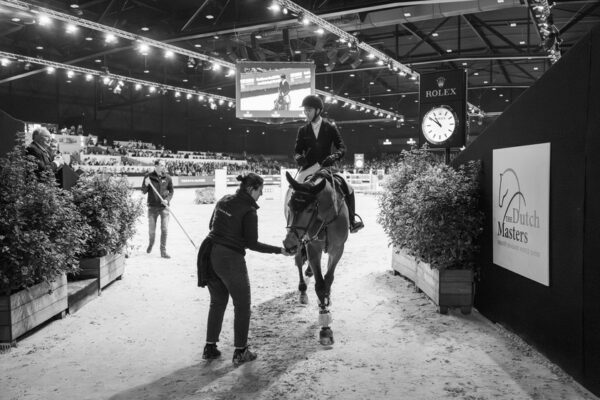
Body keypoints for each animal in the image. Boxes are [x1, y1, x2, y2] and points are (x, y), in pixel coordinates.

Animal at [284, 169, 350, 344]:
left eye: (309, 209)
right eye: (290, 205)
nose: (288, 243)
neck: (326, 218)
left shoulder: (337, 249)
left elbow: (328, 279)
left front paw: (326, 300)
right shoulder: (313, 248)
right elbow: (320, 284)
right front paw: (325, 325)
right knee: (299, 262)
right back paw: (302, 291)